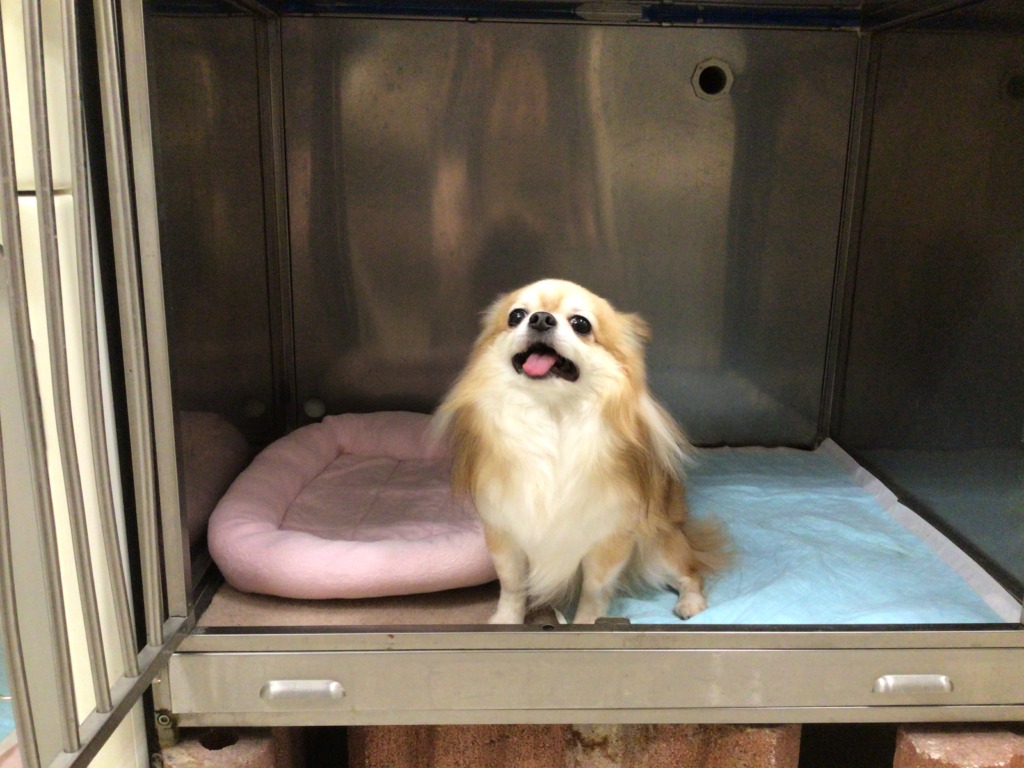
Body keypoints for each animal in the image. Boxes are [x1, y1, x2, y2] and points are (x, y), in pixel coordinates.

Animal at [433, 278, 727, 624]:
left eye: (581, 324)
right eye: (516, 316)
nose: (541, 318)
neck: (551, 416)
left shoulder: (608, 542)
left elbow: (594, 591)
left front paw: (586, 625)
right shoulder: (506, 536)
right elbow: (512, 586)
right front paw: (507, 621)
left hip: (657, 547)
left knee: (691, 571)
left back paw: (690, 603)